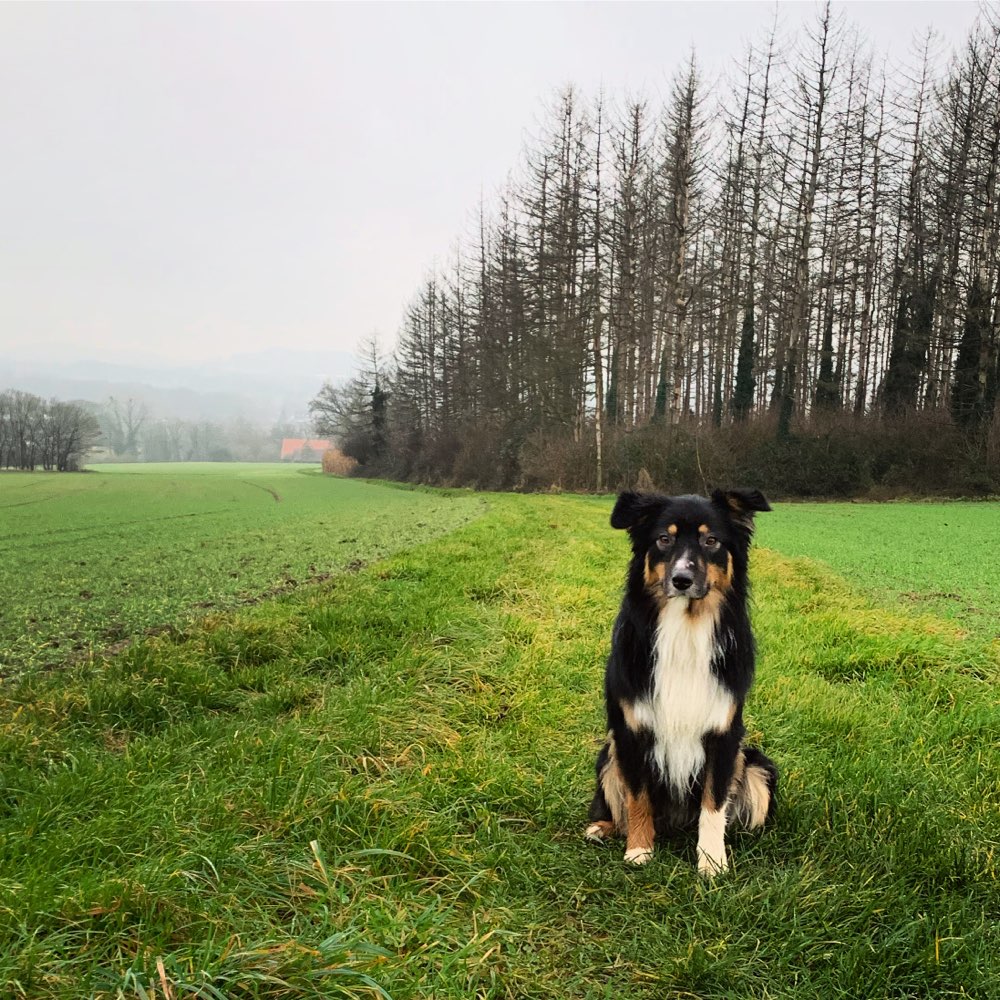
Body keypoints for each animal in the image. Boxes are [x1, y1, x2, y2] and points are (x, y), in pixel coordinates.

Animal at [584, 488, 780, 872]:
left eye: (710, 540)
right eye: (664, 539)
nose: (681, 580)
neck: (685, 627)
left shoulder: (723, 734)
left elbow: (714, 804)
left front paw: (712, 861)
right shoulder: (631, 732)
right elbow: (637, 797)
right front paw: (639, 850)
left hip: (755, 765)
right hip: (609, 752)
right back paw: (602, 826)